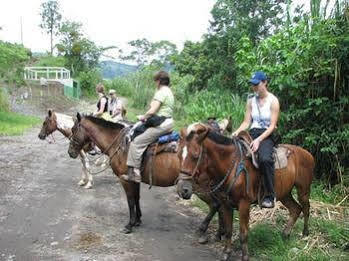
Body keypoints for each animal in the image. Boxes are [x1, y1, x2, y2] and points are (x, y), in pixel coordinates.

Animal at [67, 112, 228, 240]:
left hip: (198, 187)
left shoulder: (125, 180)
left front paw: (129, 225)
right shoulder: (134, 179)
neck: (119, 144)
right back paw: (219, 234)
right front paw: (138, 220)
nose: (70, 152)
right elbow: (137, 198)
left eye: (73, 130)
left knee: (215, 205)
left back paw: (203, 230)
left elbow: (130, 201)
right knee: (221, 207)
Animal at [175, 122, 314, 260]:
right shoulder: (225, 203)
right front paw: (226, 252)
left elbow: (243, 233)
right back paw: (285, 234)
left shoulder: (244, 204)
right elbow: (229, 230)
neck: (232, 166)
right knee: (295, 209)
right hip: (284, 193)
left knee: (306, 208)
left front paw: (245, 256)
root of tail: (308, 154)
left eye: (195, 156)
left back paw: (305, 234)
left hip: (303, 189)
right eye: (178, 155)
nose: (183, 189)